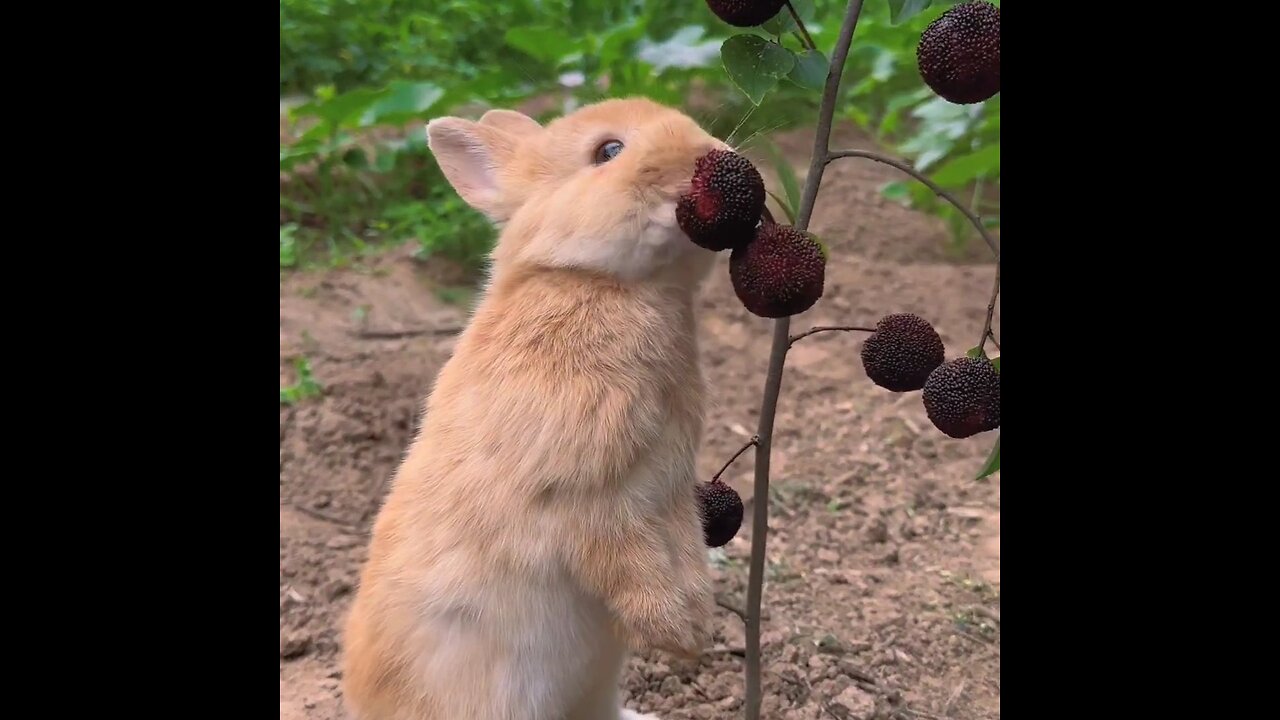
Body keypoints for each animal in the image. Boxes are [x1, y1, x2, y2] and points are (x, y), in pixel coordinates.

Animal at [337, 98, 742, 717]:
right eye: (608, 151)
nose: (715, 157)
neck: (592, 280)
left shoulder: (669, 486)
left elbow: (683, 544)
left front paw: (697, 621)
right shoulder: (587, 493)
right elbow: (624, 555)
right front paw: (679, 634)